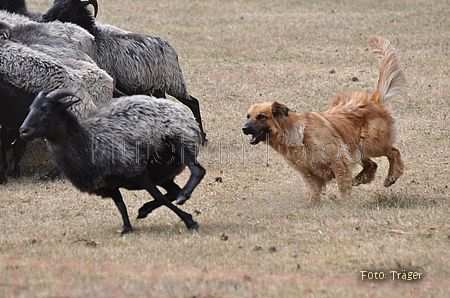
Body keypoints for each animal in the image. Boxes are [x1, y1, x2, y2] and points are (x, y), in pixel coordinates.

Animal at [18, 89, 206, 234]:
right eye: (30, 108)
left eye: (47, 109)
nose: (23, 131)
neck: (87, 140)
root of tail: (180, 110)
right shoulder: (108, 183)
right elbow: (120, 204)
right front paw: (127, 228)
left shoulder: (135, 169)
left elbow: (158, 196)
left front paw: (189, 221)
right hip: (161, 172)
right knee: (173, 189)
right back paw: (146, 209)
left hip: (177, 140)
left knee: (197, 171)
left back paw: (183, 196)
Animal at [42, 0, 207, 144]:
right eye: (54, 2)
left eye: (66, 5)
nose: (44, 17)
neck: (96, 39)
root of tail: (171, 48)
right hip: (158, 87)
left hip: (174, 82)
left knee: (193, 103)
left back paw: (203, 138)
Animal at [244, 36, 406, 204]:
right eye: (248, 116)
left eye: (261, 116)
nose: (244, 128)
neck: (295, 133)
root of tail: (373, 101)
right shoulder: (308, 172)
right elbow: (314, 191)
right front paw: (312, 204)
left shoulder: (339, 159)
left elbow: (343, 185)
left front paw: (346, 204)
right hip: (356, 147)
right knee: (372, 165)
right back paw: (359, 178)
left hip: (370, 144)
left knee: (393, 152)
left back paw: (391, 176)